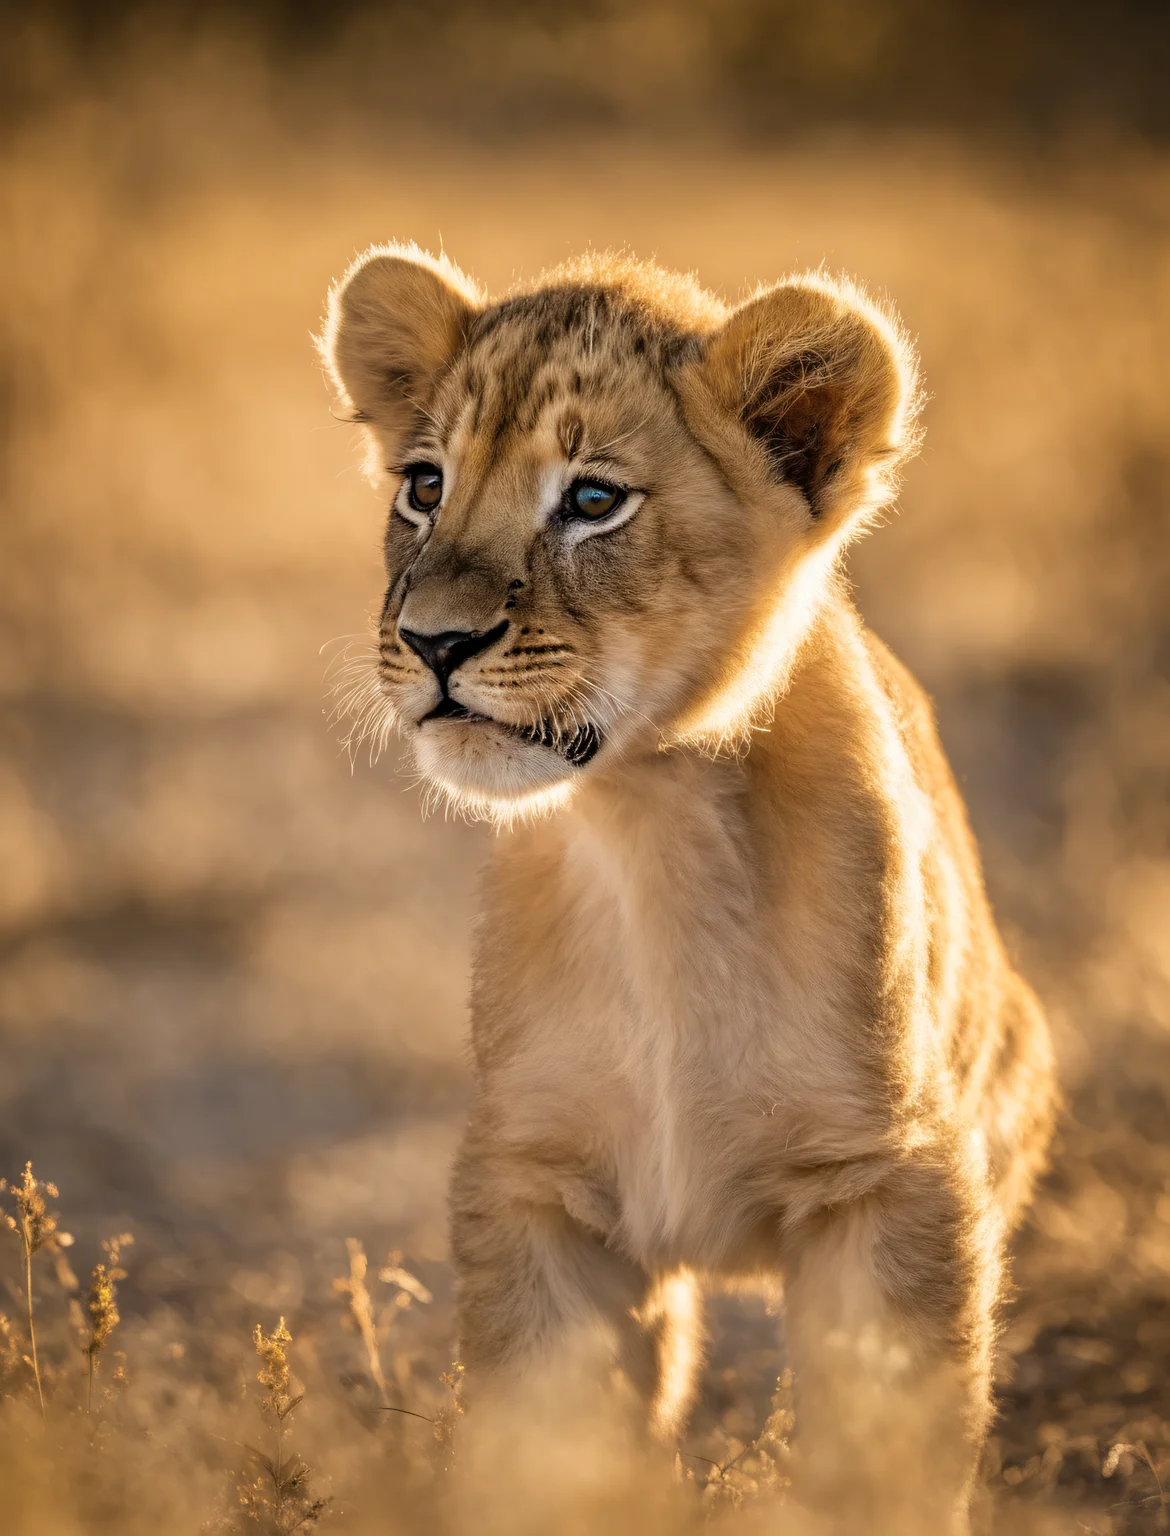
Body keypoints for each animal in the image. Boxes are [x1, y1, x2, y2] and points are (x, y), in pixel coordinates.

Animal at [320, 245, 1056, 1533]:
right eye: (424, 483)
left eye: (592, 501)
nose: (433, 643)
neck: (649, 828)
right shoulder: (533, 1182)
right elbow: (545, 1452)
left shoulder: (894, 1179)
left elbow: (887, 1458)